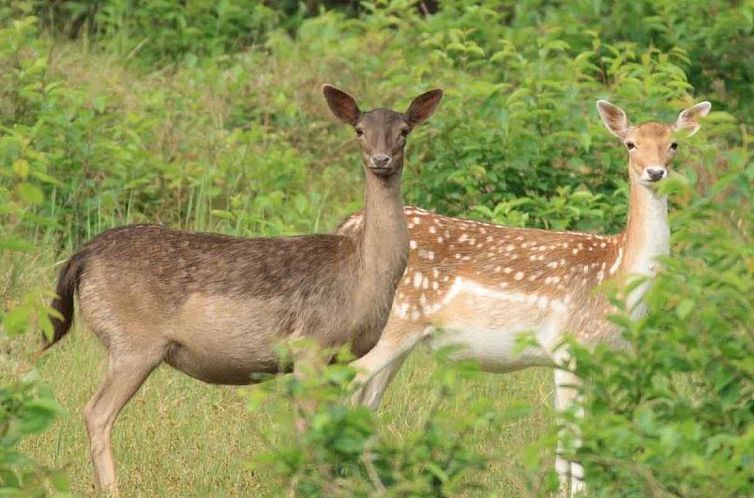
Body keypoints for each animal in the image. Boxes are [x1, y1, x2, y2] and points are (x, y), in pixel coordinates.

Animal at [44, 83, 440, 492]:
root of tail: (82, 255)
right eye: (359, 130)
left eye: (404, 131)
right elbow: (307, 432)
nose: (381, 159)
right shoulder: (311, 344)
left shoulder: (340, 357)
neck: (363, 276)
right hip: (133, 342)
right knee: (96, 412)